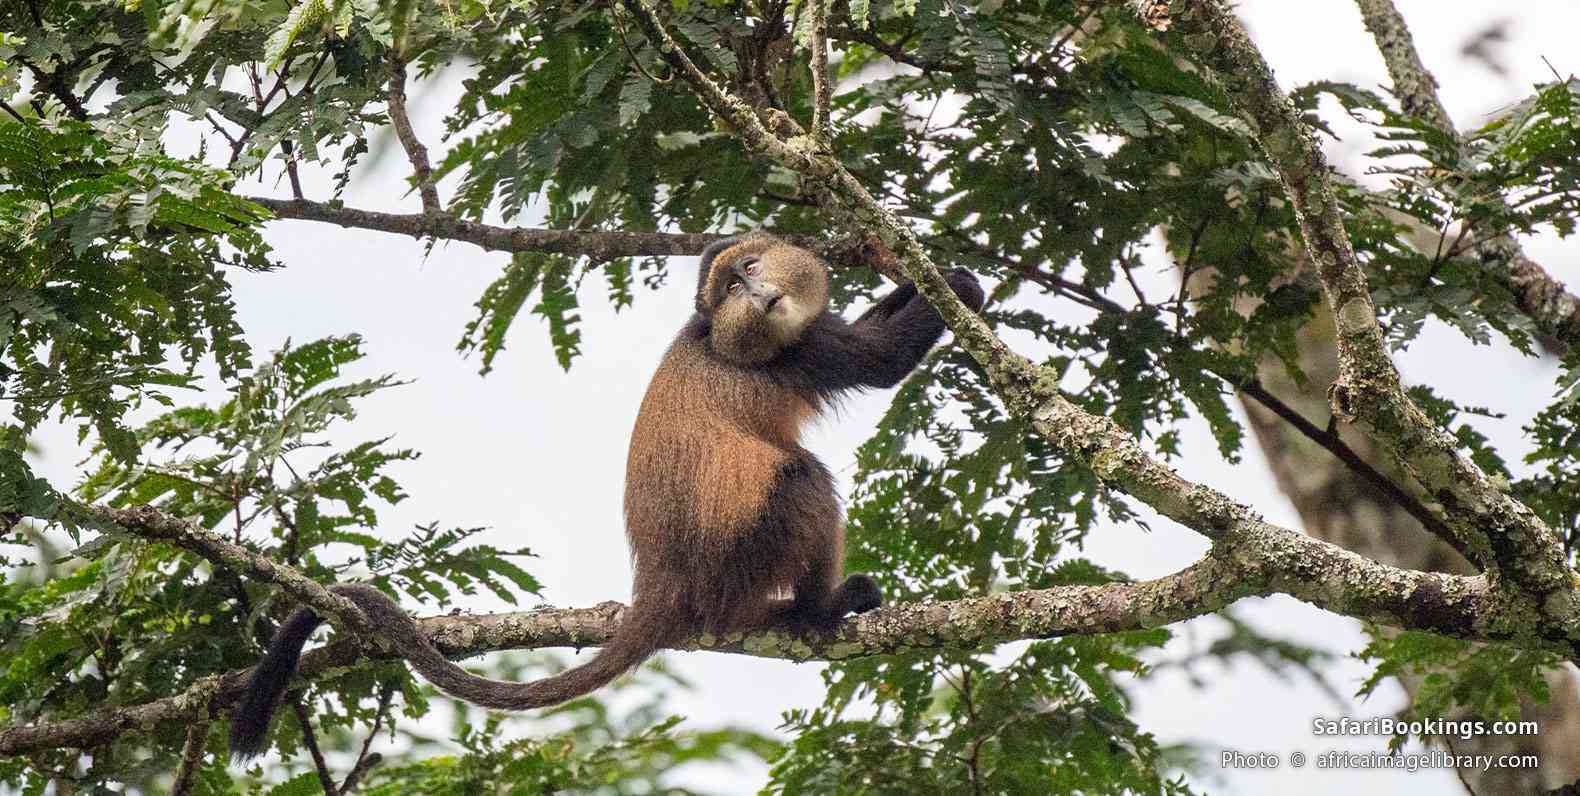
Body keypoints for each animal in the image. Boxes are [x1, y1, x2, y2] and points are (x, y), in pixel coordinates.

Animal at [227, 232, 984, 759]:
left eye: (746, 268)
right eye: (731, 285)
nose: (751, 293)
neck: (718, 335)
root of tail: (661, 586)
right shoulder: (800, 352)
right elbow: (879, 360)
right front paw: (960, 286)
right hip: (740, 556)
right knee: (803, 481)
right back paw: (816, 610)